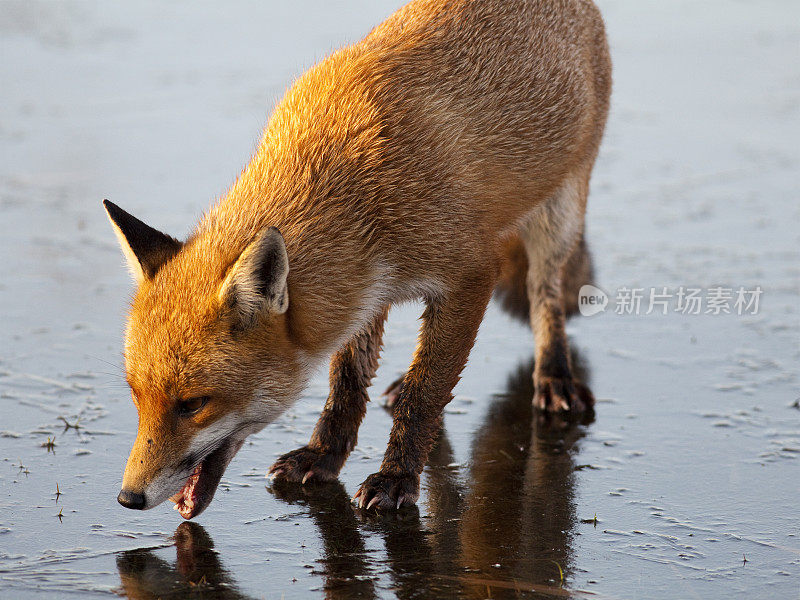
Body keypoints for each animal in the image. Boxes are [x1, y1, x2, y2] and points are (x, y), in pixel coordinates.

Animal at [104, 0, 608, 516]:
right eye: (137, 396)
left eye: (193, 404)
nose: (128, 498)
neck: (349, 183)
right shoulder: (360, 292)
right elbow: (347, 385)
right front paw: (324, 455)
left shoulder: (469, 273)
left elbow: (425, 395)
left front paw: (397, 477)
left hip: (559, 215)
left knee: (544, 296)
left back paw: (554, 376)